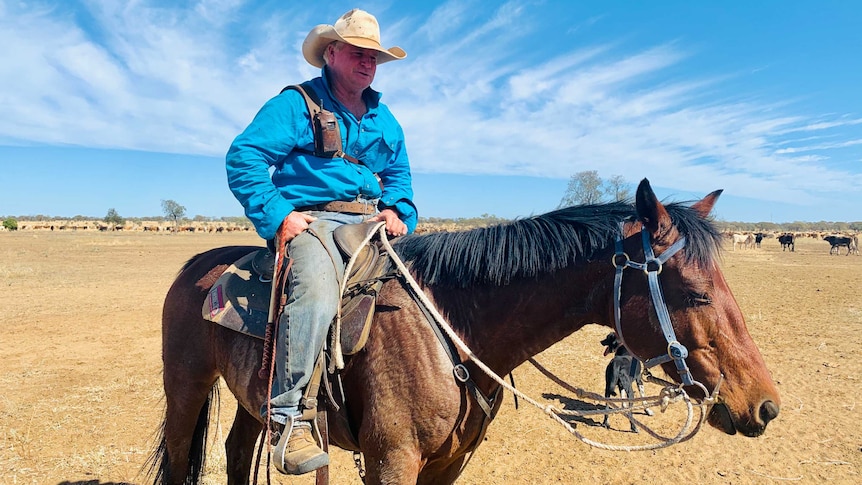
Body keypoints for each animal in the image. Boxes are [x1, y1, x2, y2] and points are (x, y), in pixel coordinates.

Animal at [145, 179, 780, 484]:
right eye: (696, 293)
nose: (765, 405)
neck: (448, 328)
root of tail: (197, 264)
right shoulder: (391, 462)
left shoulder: (447, 464)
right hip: (186, 388)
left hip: (253, 399)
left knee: (235, 454)